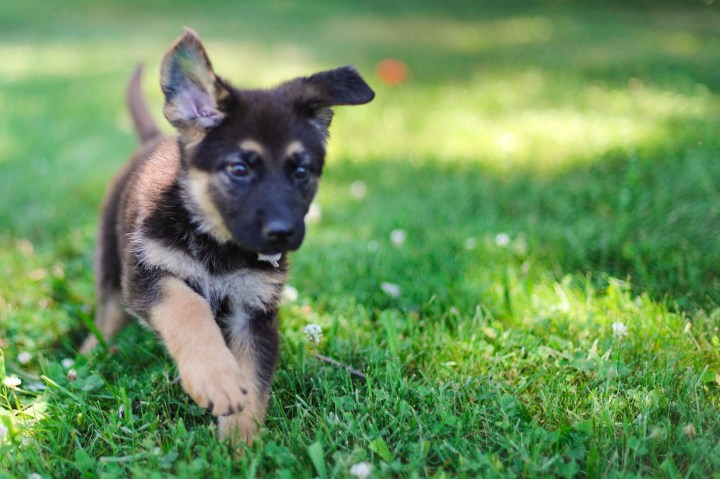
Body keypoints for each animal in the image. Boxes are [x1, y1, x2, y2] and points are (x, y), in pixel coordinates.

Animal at [80, 29, 374, 444]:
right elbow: (187, 306)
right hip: (111, 263)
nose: (283, 234)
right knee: (106, 315)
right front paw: (215, 377)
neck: (216, 242)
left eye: (301, 171)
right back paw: (88, 355)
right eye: (239, 169)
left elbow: (254, 379)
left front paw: (239, 445)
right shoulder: (147, 278)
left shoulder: (253, 312)